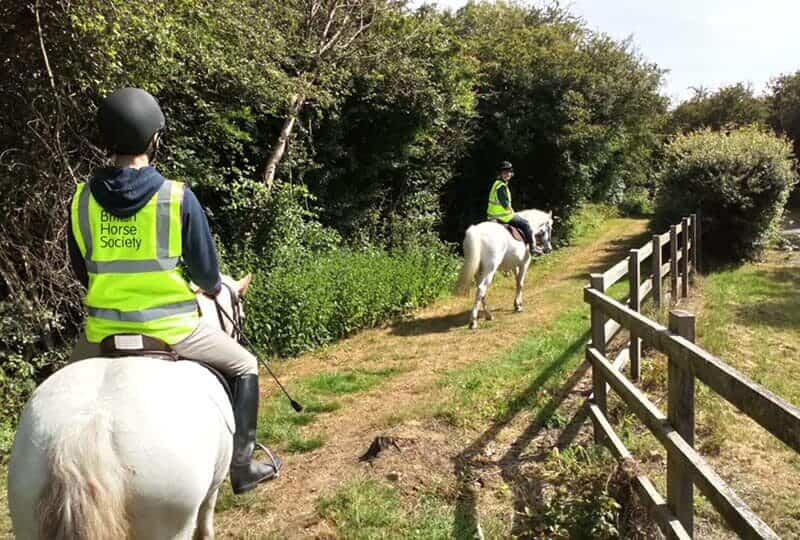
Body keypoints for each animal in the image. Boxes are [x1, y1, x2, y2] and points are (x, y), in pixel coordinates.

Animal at [5, 274, 250, 540]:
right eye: (241, 312)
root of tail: (82, 431)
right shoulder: (213, 486)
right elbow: (205, 524)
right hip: (170, 520)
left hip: (26, 514)